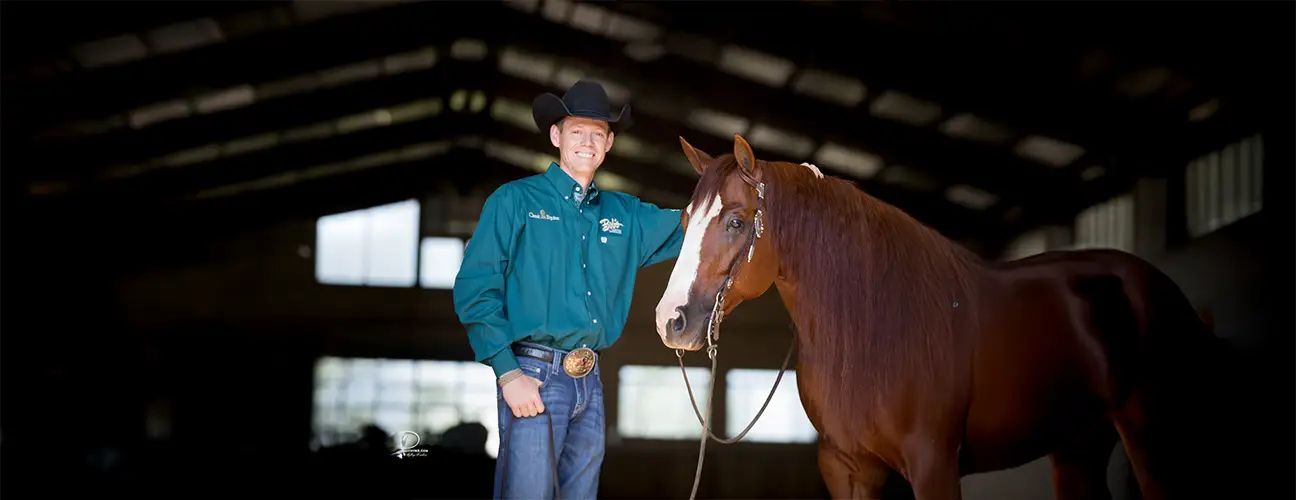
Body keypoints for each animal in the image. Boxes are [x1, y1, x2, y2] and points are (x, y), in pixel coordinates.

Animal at [652, 133, 1220, 500]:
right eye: (684, 219)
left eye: (735, 220)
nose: (670, 320)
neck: (874, 325)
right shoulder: (847, 469)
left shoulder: (934, 466)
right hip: (1077, 448)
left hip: (1154, 442)